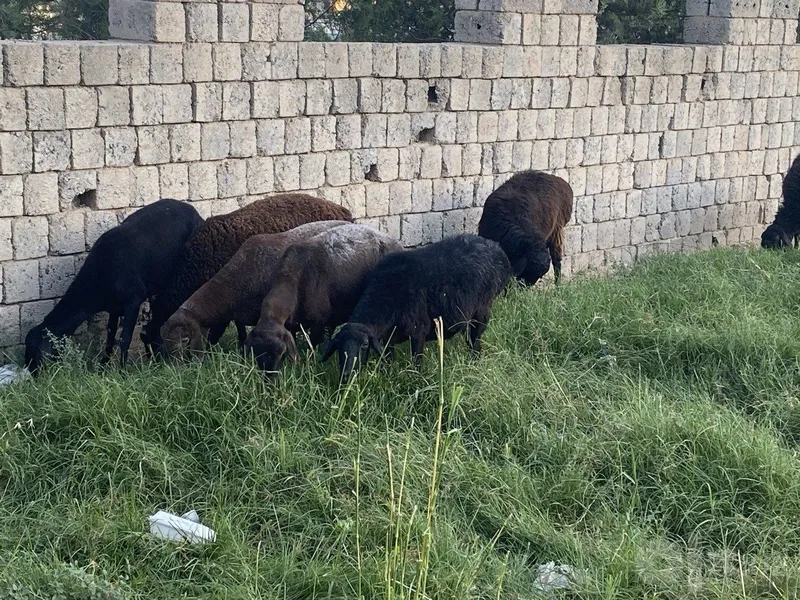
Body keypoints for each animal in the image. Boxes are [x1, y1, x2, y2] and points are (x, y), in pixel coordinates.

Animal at [24, 199, 204, 375]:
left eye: (37, 354)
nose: (35, 377)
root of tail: (193, 209)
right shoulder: (114, 307)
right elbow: (110, 335)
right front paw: (103, 367)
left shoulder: (133, 301)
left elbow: (125, 338)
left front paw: (122, 371)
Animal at [243, 223, 403, 375]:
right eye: (255, 353)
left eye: (281, 352)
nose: (269, 380)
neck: (292, 279)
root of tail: (395, 242)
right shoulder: (291, 325)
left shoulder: (319, 321)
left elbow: (314, 344)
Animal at [322, 234, 512, 384]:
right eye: (338, 346)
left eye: (364, 345)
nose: (346, 376)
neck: (386, 295)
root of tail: (497, 249)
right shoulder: (388, 337)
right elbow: (388, 358)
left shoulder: (418, 330)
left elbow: (417, 361)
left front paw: (416, 379)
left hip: (483, 308)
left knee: (476, 339)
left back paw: (473, 362)